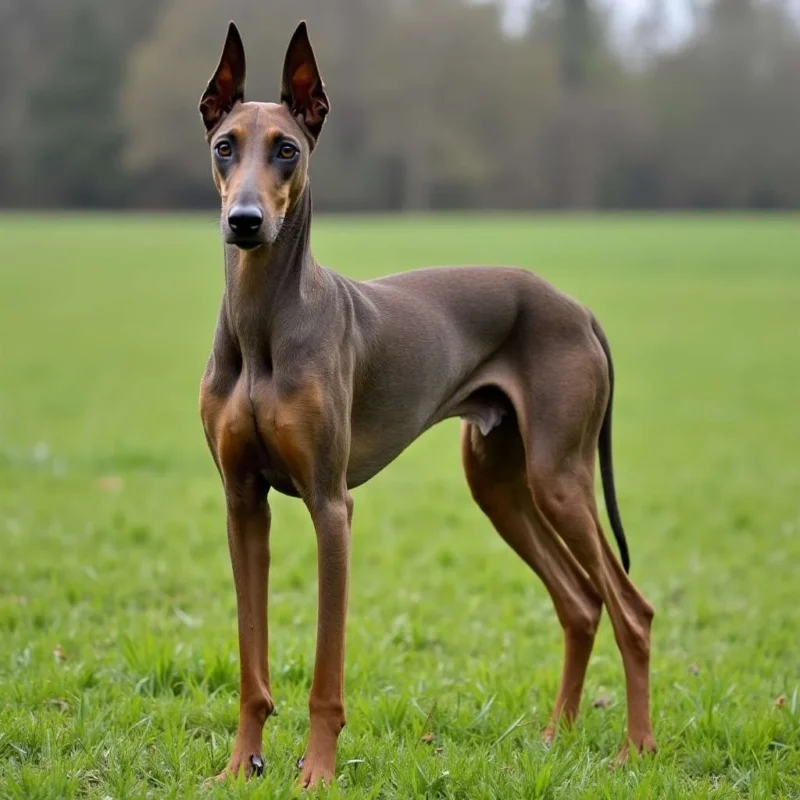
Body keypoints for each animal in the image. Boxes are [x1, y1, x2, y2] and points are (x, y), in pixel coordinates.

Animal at [197, 21, 652, 792]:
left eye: (287, 149)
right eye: (226, 144)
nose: (245, 221)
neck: (264, 325)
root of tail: (576, 307)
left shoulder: (331, 506)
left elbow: (326, 674)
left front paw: (317, 773)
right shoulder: (242, 501)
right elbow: (250, 662)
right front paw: (240, 765)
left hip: (561, 478)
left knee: (631, 609)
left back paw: (636, 750)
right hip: (500, 484)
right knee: (580, 602)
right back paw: (554, 737)